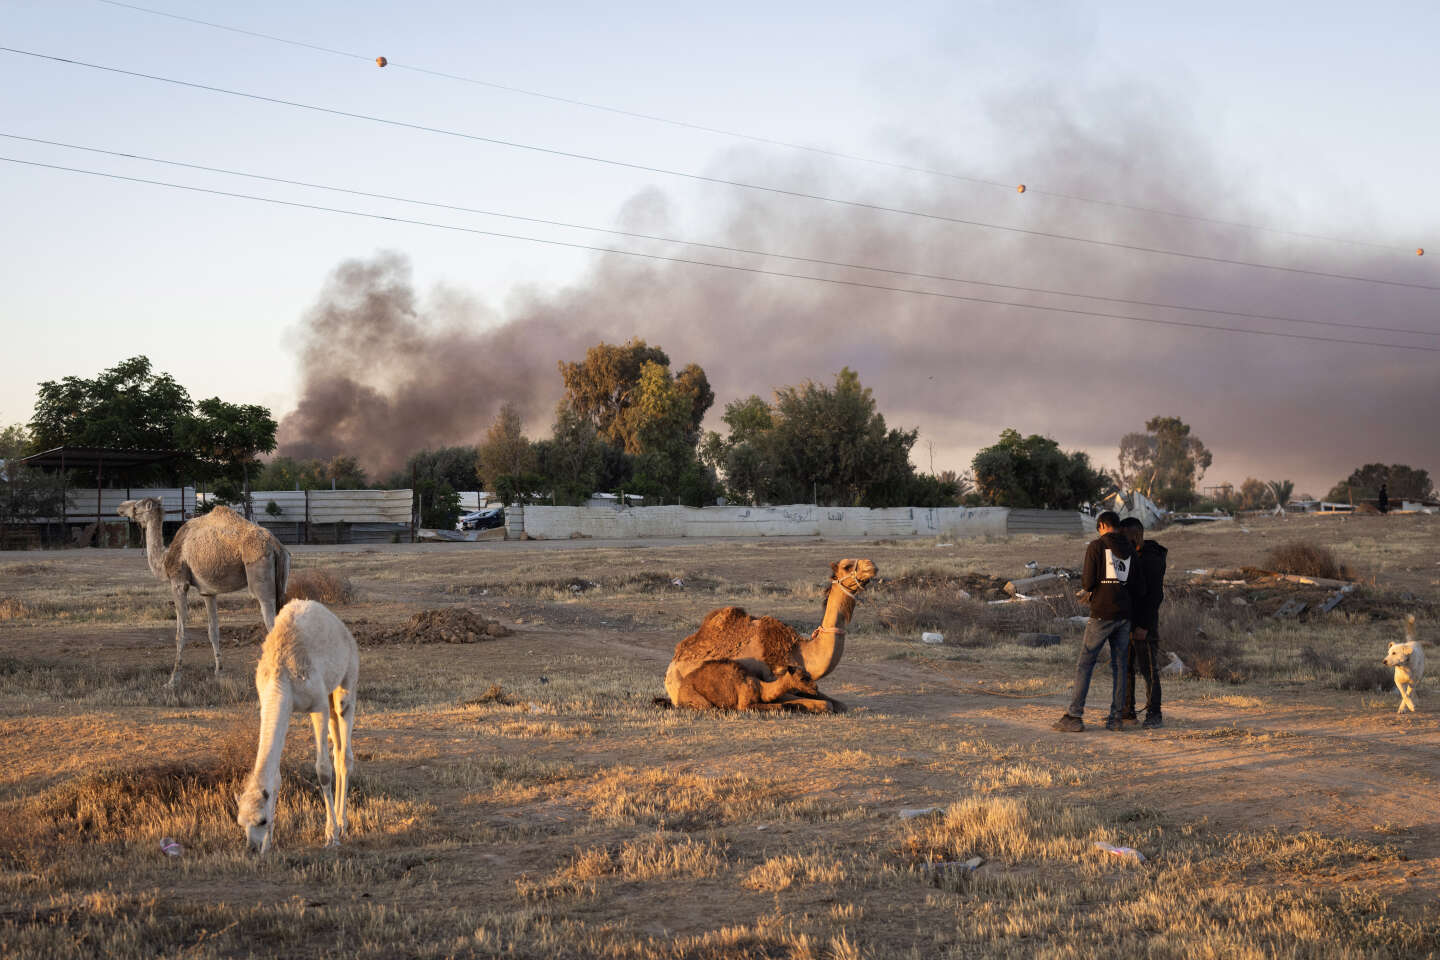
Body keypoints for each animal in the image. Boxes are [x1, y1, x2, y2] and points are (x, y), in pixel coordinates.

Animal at [121, 500, 295, 687]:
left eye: (136, 506)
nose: (120, 508)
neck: (166, 560)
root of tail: (276, 545)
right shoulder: (207, 592)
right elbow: (213, 631)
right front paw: (219, 672)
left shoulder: (178, 583)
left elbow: (180, 634)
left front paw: (173, 679)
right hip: (281, 584)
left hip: (260, 576)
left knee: (271, 622)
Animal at [236, 601, 357, 857]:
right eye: (240, 822)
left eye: (261, 820)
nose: (251, 848)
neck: (280, 677)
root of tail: (341, 626)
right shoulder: (277, 704)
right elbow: (276, 778)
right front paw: (269, 844)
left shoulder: (317, 705)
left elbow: (323, 770)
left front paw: (331, 836)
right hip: (331, 696)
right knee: (337, 748)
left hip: (348, 681)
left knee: (344, 754)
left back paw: (343, 824)